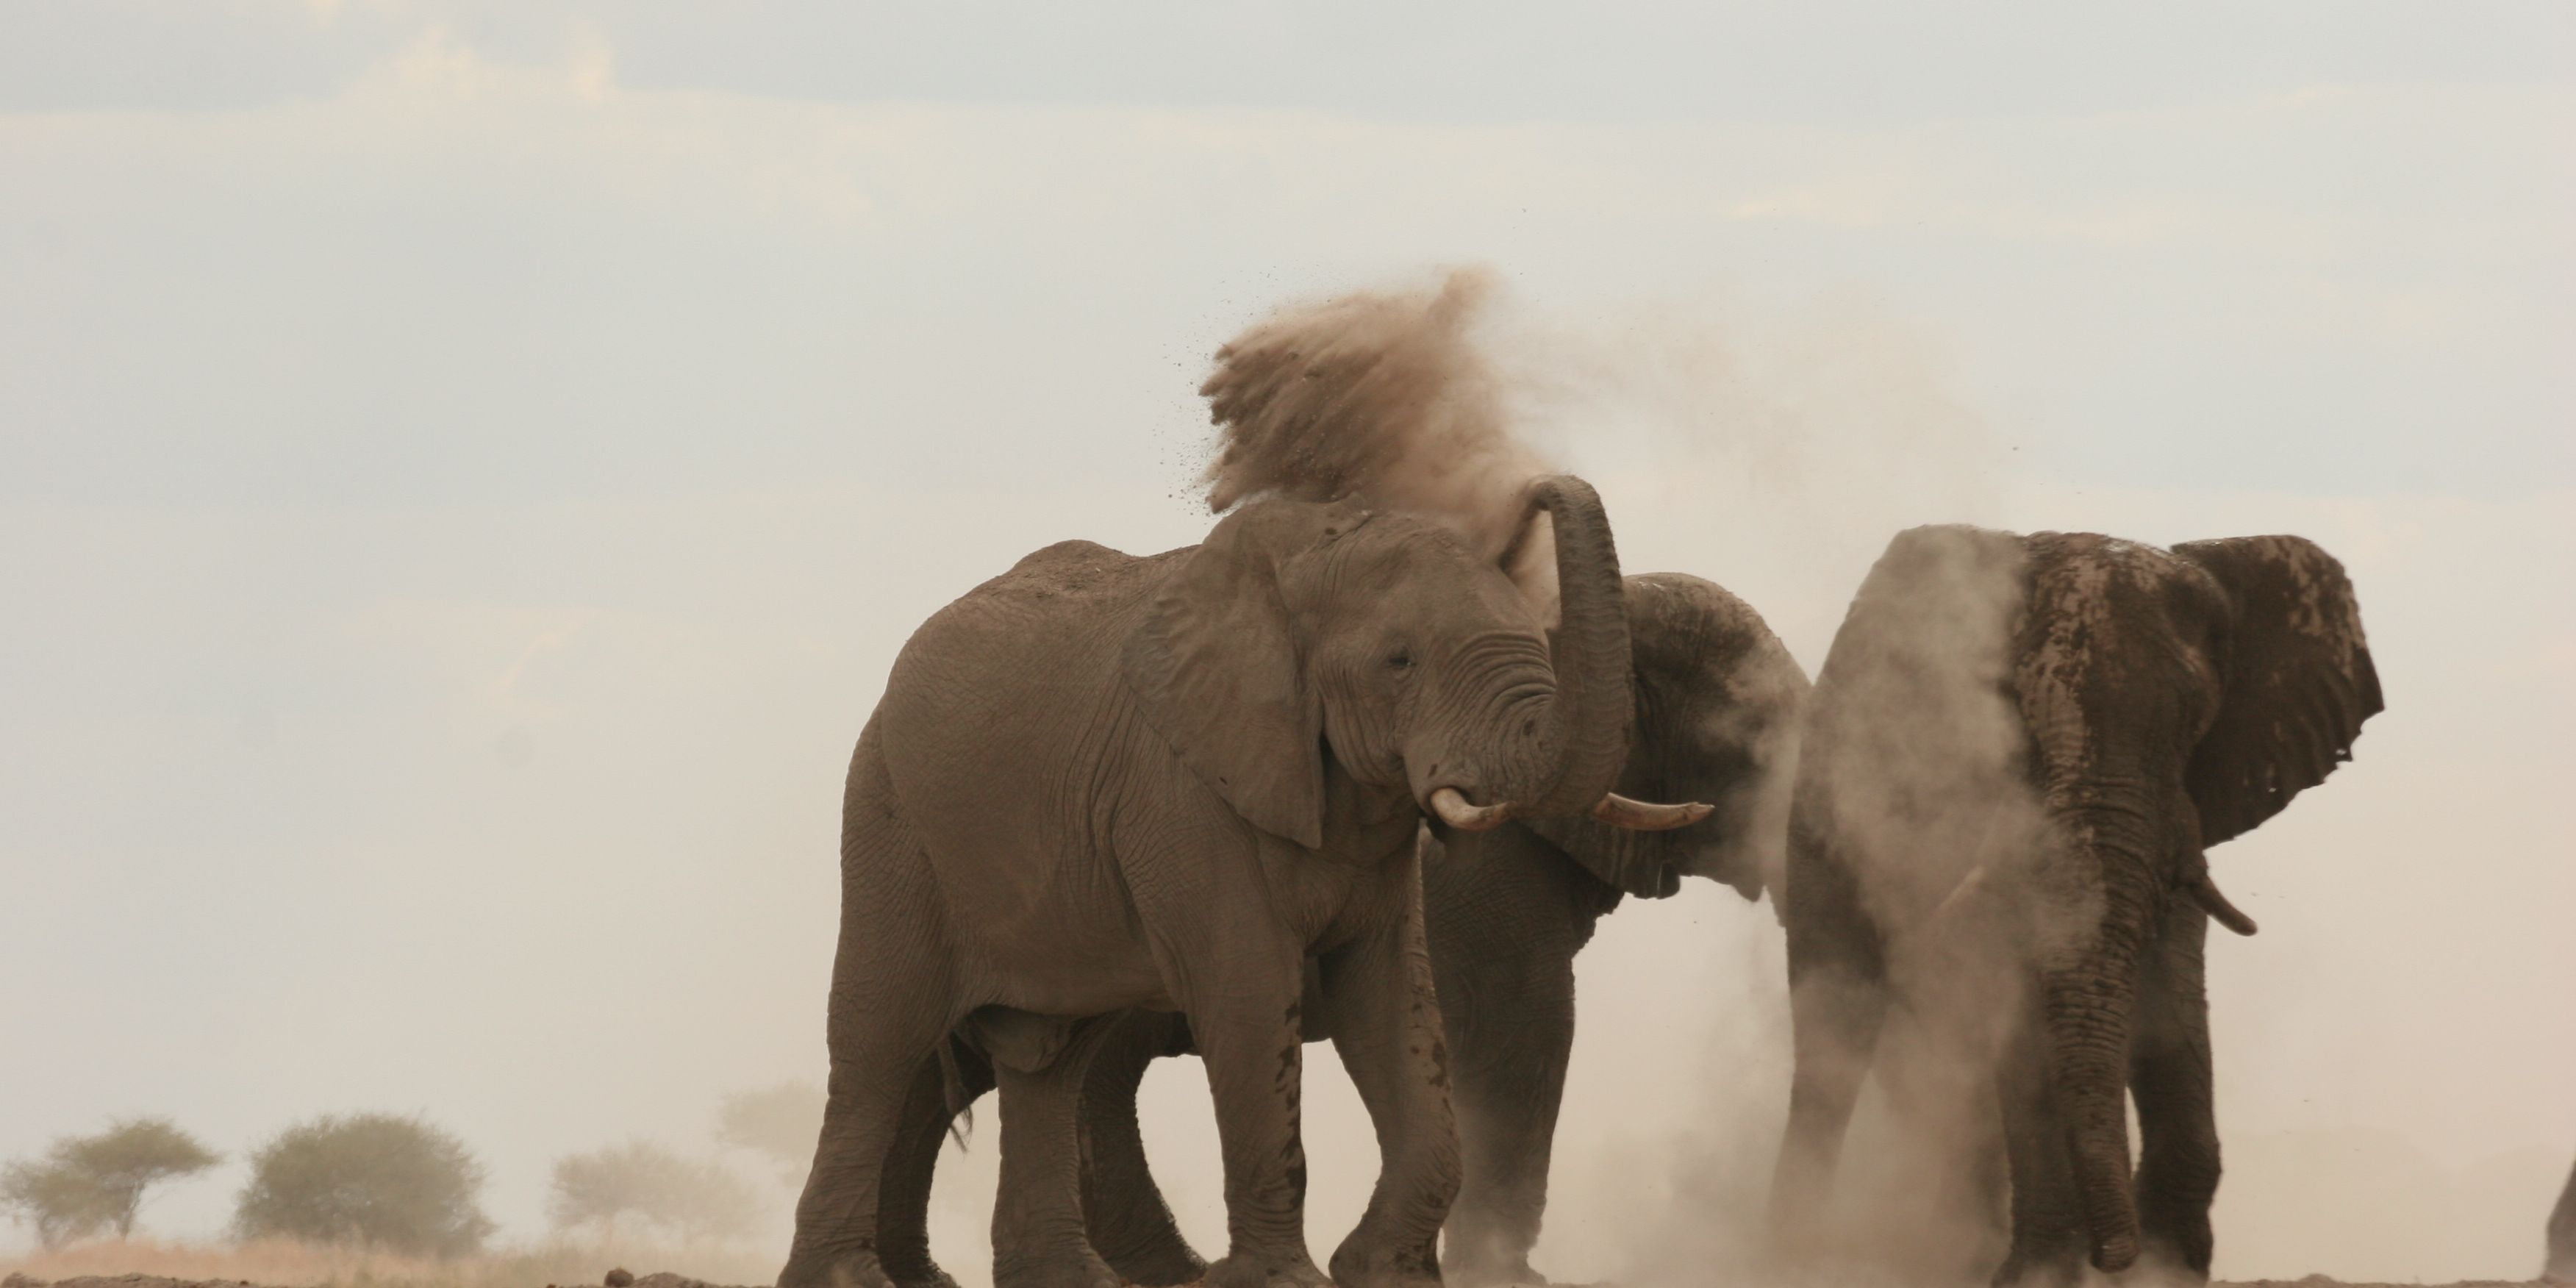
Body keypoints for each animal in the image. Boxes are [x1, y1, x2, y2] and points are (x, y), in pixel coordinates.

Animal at [776, 476, 1712, 1288]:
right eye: (1400, 661)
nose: (1534, 491)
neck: (1311, 558)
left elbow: (1394, 998)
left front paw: (1383, 1273)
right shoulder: (1183, 791)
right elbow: (1249, 989)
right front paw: (1284, 1280)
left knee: (1050, 1054)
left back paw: (1071, 1280)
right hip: (893, 820)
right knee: (882, 1037)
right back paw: (848, 1278)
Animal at [1767, 525, 2383, 1287]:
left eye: (2192, 720)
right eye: (2015, 717)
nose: (2110, 1257)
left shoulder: (2183, 808)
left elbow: (2173, 996)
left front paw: (2169, 1267)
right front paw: (2046, 1274)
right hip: (1818, 824)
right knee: (1835, 1021)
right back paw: (1798, 1250)